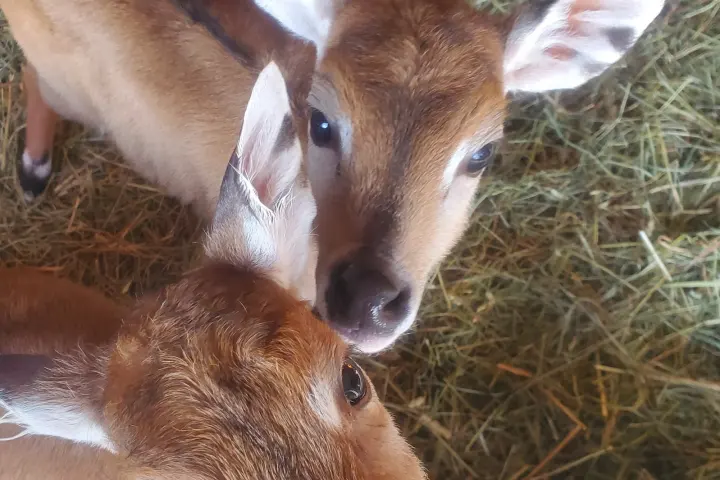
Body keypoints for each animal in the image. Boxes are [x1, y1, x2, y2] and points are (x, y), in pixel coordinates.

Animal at [0, 0, 666, 352]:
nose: (367, 299)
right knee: (35, 80)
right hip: (61, 77)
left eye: (482, 154)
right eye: (320, 123)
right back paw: (33, 171)